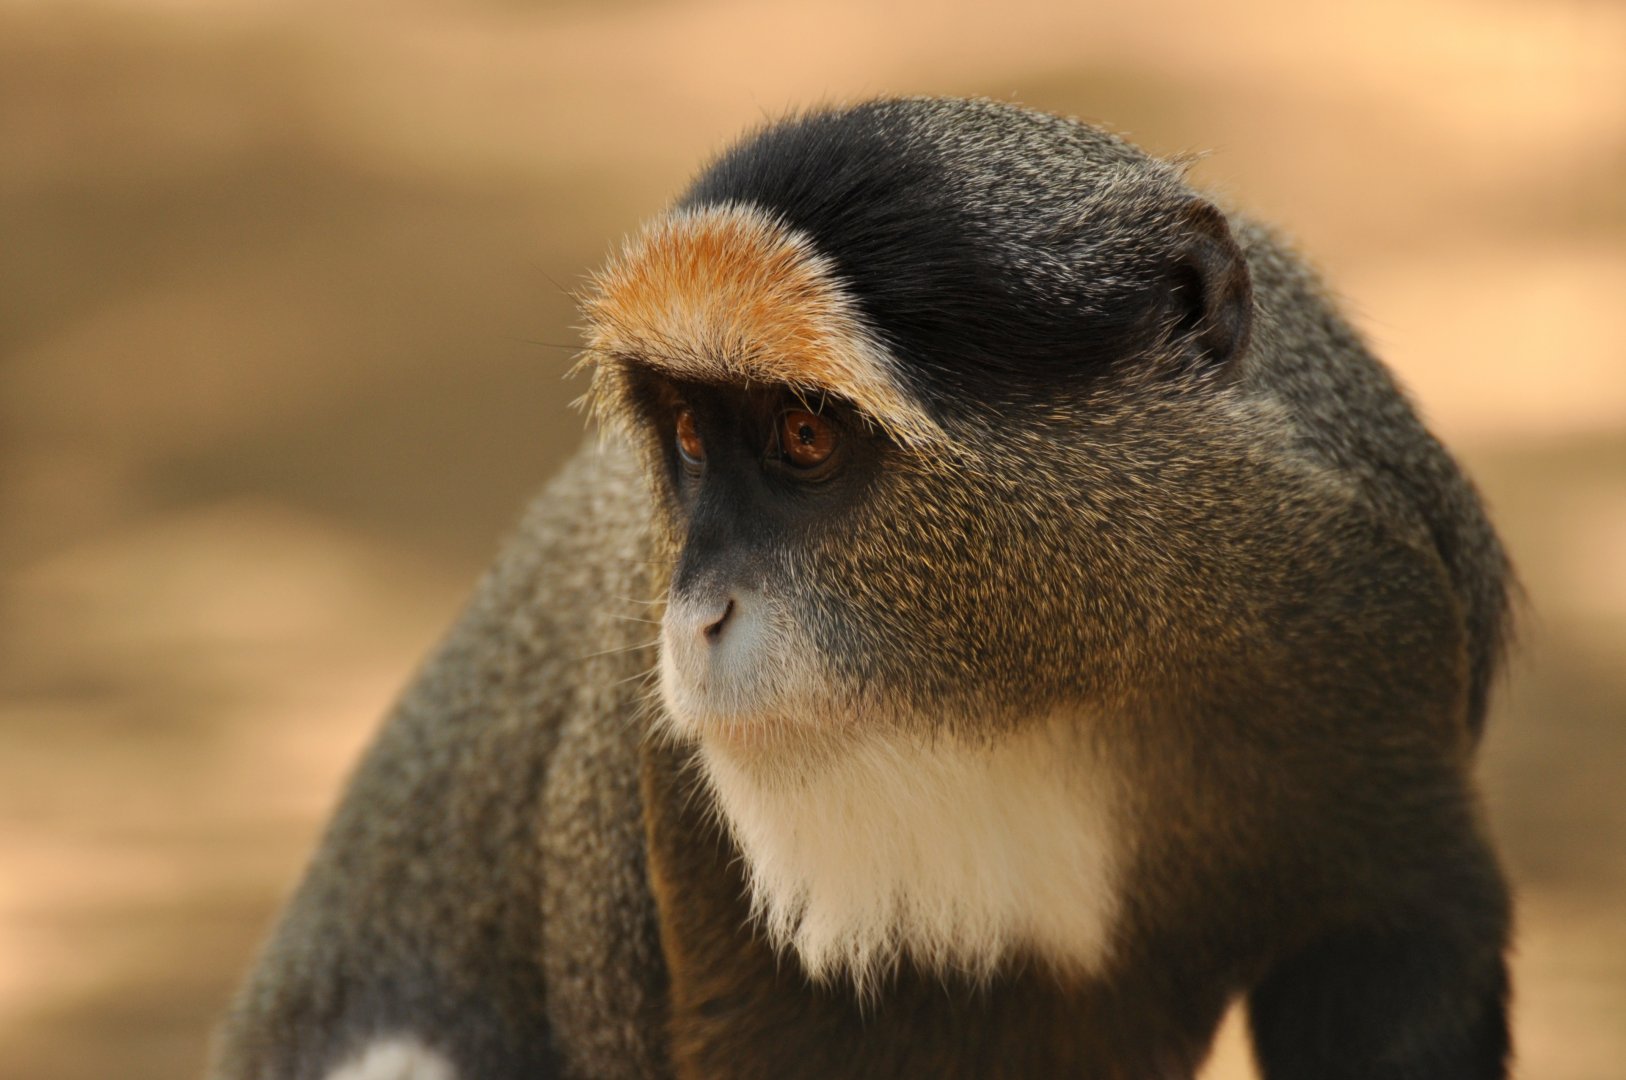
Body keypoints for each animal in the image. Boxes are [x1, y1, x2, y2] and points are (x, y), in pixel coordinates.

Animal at [213, 96, 1514, 1080]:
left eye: (804, 435)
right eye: (692, 434)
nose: (698, 616)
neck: (1050, 688)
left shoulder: (1375, 628)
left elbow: (1397, 951)